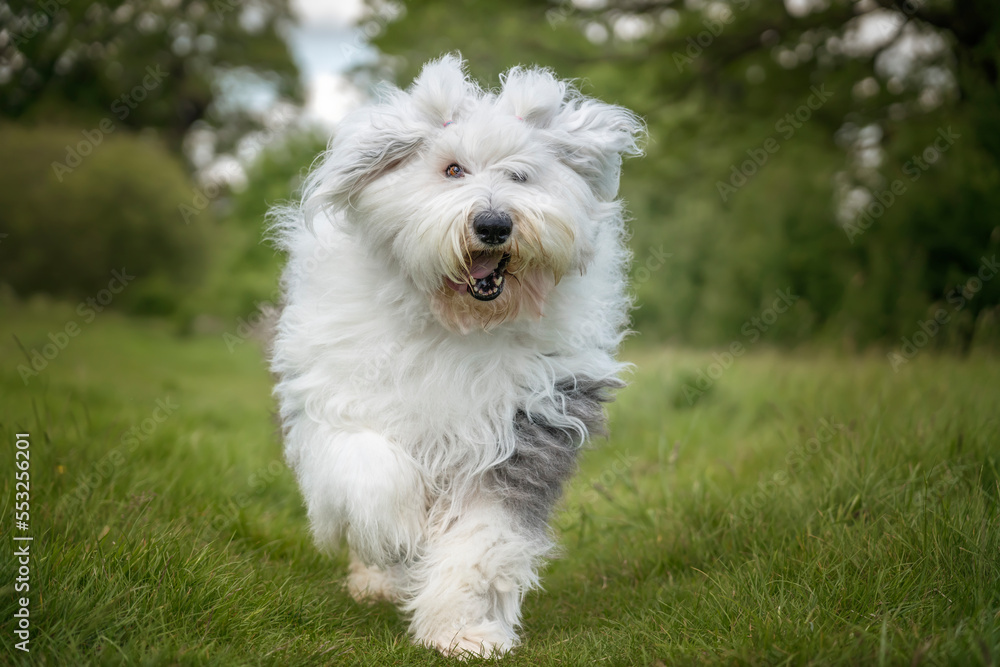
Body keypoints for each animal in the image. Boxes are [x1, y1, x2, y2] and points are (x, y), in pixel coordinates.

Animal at [268, 53, 640, 656]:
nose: (493, 224)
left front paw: (462, 632)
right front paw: (399, 535)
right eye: (452, 170)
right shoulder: (341, 399)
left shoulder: (523, 426)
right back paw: (379, 575)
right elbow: (372, 473)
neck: (456, 324)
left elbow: (481, 540)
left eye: (520, 175)